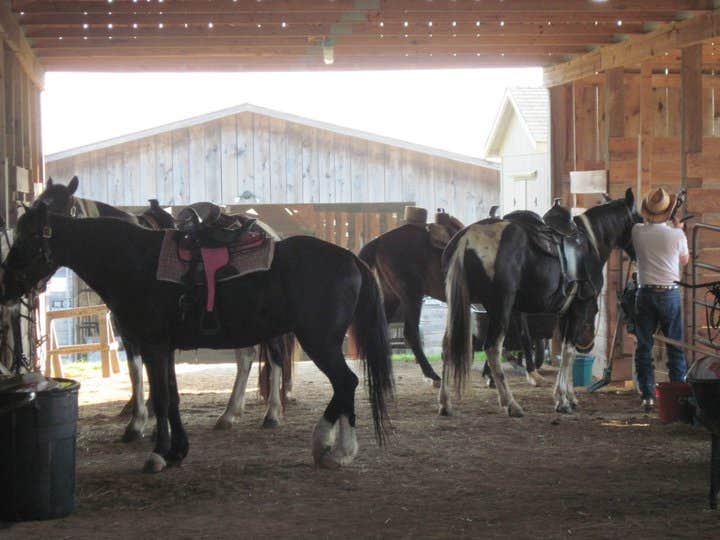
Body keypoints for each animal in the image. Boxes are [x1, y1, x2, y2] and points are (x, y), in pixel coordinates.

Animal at [1, 204, 393, 472]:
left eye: (29, 238)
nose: (5, 286)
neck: (135, 263)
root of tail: (348, 258)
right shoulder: (164, 347)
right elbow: (172, 398)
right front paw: (177, 451)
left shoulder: (152, 345)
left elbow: (161, 399)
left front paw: (158, 455)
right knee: (343, 385)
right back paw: (332, 447)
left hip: (319, 341)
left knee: (346, 382)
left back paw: (334, 447)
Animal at [36, 177, 293, 441]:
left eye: (64, 210)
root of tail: (269, 233)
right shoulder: (129, 332)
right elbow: (136, 372)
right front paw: (137, 421)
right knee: (246, 357)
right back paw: (229, 414)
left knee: (275, 357)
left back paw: (272, 414)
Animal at [359, 212, 546, 388]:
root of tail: (379, 241)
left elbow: (517, 335)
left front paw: (496, 375)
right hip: (411, 295)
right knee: (410, 334)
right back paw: (432, 376)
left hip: (392, 296)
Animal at [439, 188, 640, 417]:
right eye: (639, 220)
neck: (591, 242)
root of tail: (466, 239)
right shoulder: (579, 307)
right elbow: (568, 351)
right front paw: (562, 400)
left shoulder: (565, 312)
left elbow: (568, 352)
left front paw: (570, 397)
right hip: (501, 307)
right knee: (492, 349)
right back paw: (511, 403)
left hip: (458, 306)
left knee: (447, 347)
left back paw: (445, 403)